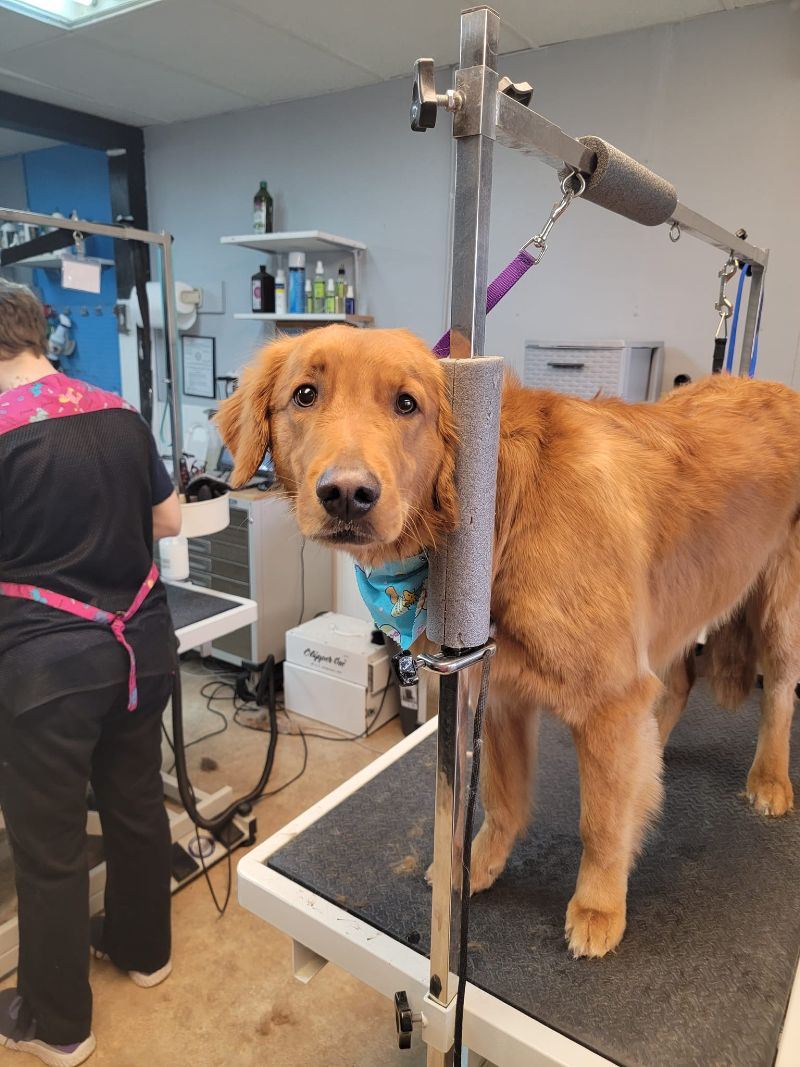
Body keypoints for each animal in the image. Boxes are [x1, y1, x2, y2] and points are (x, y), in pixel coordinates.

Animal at [217, 324, 800, 960]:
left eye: (406, 404)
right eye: (305, 395)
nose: (347, 494)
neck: (502, 509)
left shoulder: (610, 698)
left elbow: (600, 822)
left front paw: (599, 906)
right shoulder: (500, 689)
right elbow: (501, 798)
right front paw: (478, 866)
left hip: (780, 611)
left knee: (778, 694)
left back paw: (769, 779)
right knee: (676, 686)